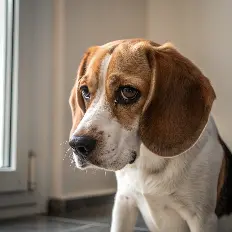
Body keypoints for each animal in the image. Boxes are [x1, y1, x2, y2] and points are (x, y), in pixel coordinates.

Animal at [68, 39, 232, 231]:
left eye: (128, 91)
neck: (148, 160)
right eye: (85, 91)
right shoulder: (124, 203)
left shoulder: (202, 219)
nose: (78, 144)